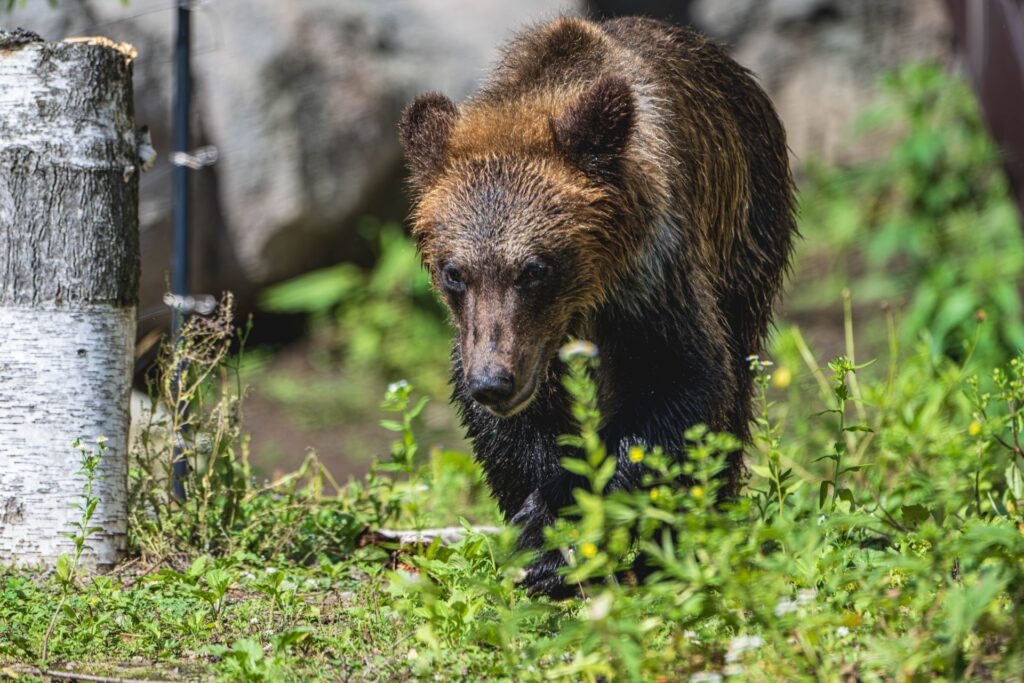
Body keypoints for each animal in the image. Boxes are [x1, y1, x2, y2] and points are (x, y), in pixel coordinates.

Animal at [395, 15, 794, 598]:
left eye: (534, 269)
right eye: (455, 272)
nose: (493, 382)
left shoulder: (655, 281)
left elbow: (677, 387)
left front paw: (566, 525)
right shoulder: (499, 340)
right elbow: (517, 436)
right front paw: (539, 539)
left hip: (748, 230)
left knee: (736, 382)